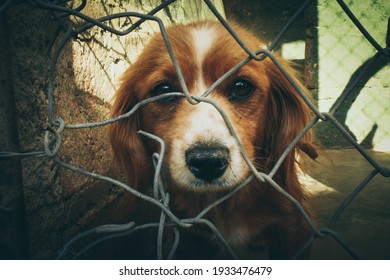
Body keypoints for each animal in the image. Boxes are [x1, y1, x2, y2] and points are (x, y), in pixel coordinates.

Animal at [109, 20, 316, 260]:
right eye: (163, 90)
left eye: (241, 87)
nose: (207, 161)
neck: (224, 203)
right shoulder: (190, 240)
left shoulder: (292, 232)